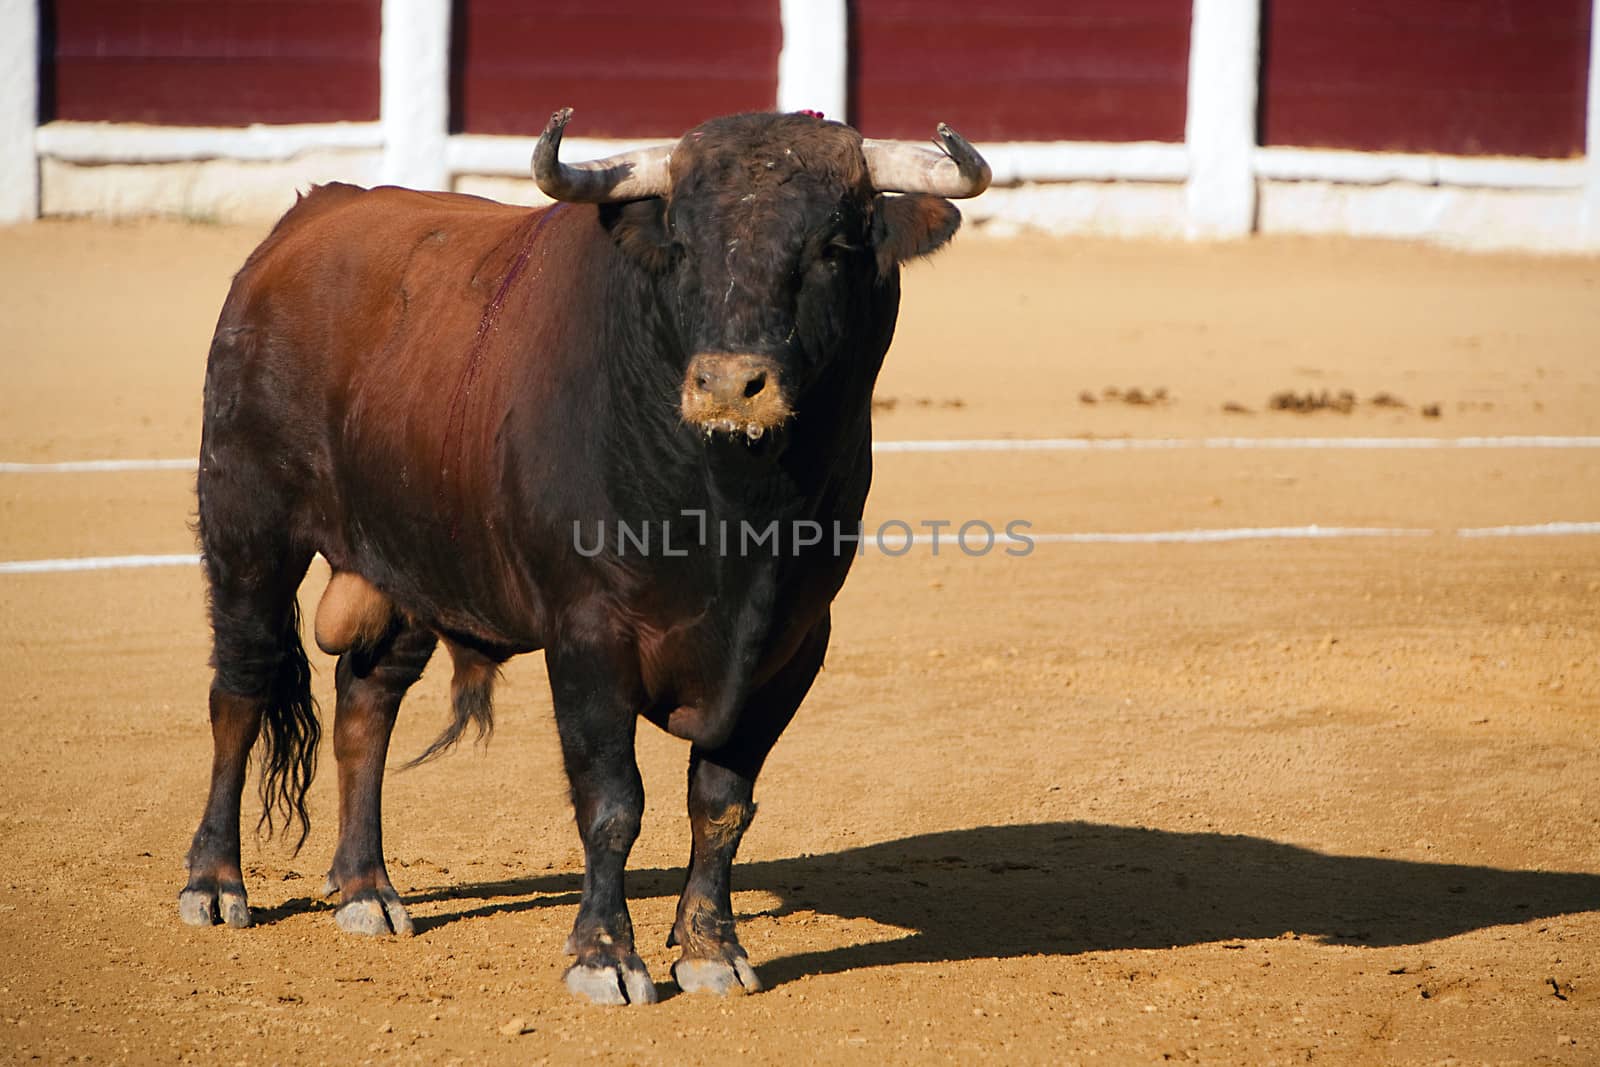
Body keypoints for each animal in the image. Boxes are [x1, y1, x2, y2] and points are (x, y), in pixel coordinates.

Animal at [181, 108, 992, 1004]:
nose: (727, 385)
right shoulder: (588, 636)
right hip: (247, 527)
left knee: (368, 704)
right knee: (241, 687)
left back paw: (367, 888)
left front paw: (711, 948)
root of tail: (307, 217)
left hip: (411, 562)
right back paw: (215, 882)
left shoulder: (792, 644)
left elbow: (722, 802)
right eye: (682, 242)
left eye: (835, 246)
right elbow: (613, 801)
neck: (733, 510)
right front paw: (604, 956)